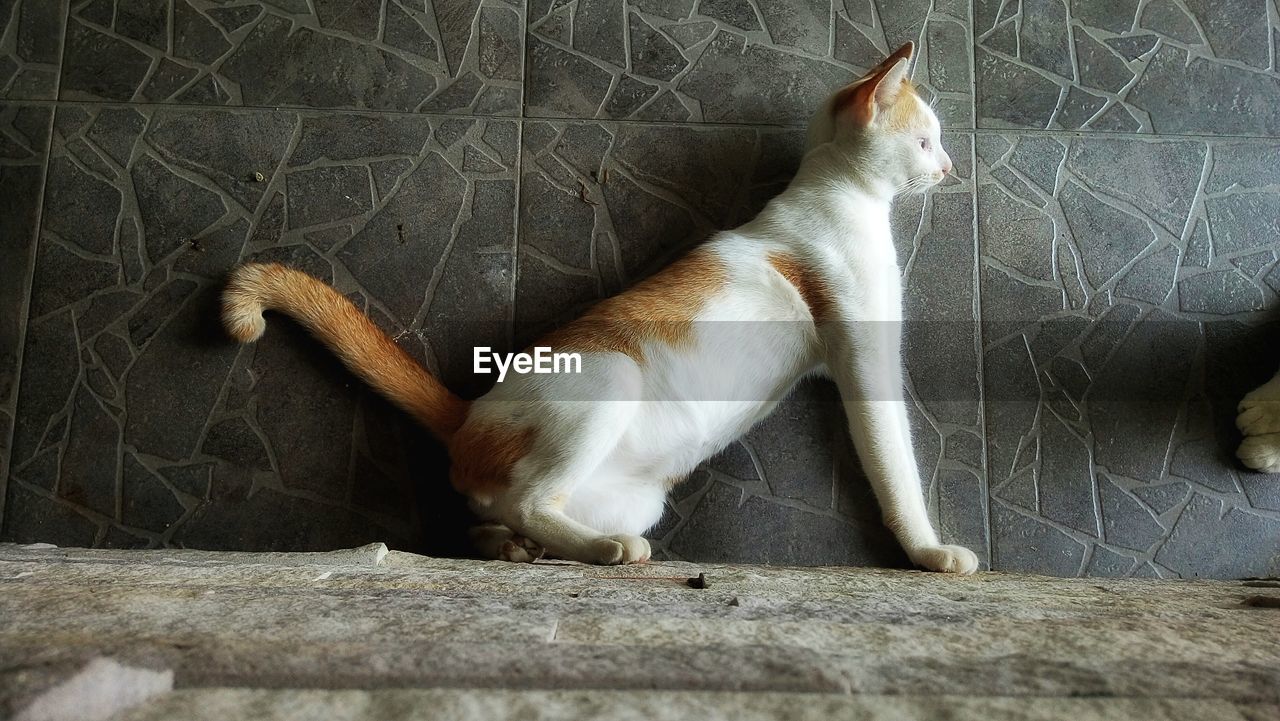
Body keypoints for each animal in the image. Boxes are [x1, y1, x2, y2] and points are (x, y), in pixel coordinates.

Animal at [220, 43, 977, 576]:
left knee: (493, 516)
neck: (840, 194)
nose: (949, 170)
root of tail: (468, 416)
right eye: (925, 140)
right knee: (528, 498)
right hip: (612, 375)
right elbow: (896, 468)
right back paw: (606, 551)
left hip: (635, 492)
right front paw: (930, 553)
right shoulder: (864, 359)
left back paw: (517, 548)